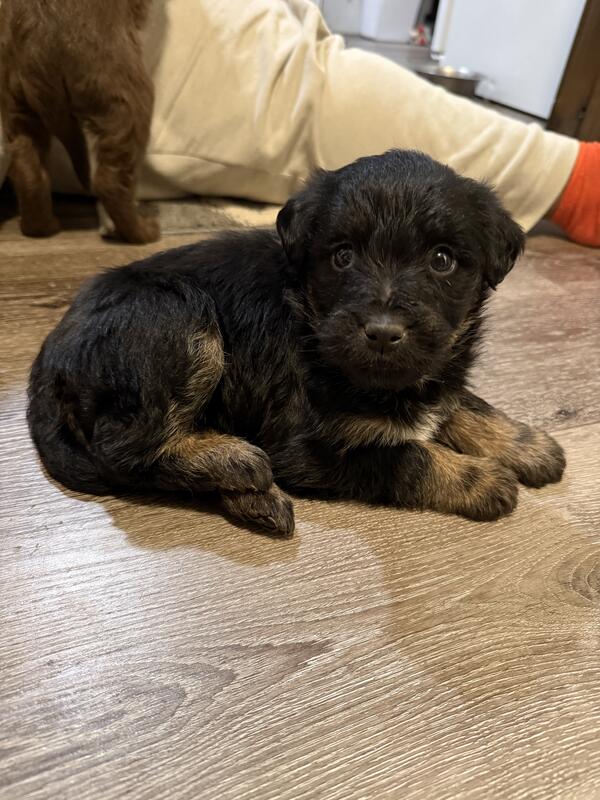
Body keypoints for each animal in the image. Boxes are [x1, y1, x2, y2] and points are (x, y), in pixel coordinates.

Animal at [0, 0, 159, 243]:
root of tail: (37, 41)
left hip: (16, 104)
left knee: (29, 171)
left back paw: (42, 227)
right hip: (126, 95)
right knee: (111, 182)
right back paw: (143, 232)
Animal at [28, 150, 565, 536]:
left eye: (442, 260)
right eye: (343, 257)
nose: (383, 332)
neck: (311, 327)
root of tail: (51, 354)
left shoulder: (433, 369)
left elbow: (461, 401)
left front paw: (527, 444)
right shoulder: (306, 447)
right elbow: (404, 456)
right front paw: (480, 478)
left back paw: (250, 495)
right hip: (179, 319)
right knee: (125, 447)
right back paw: (238, 462)